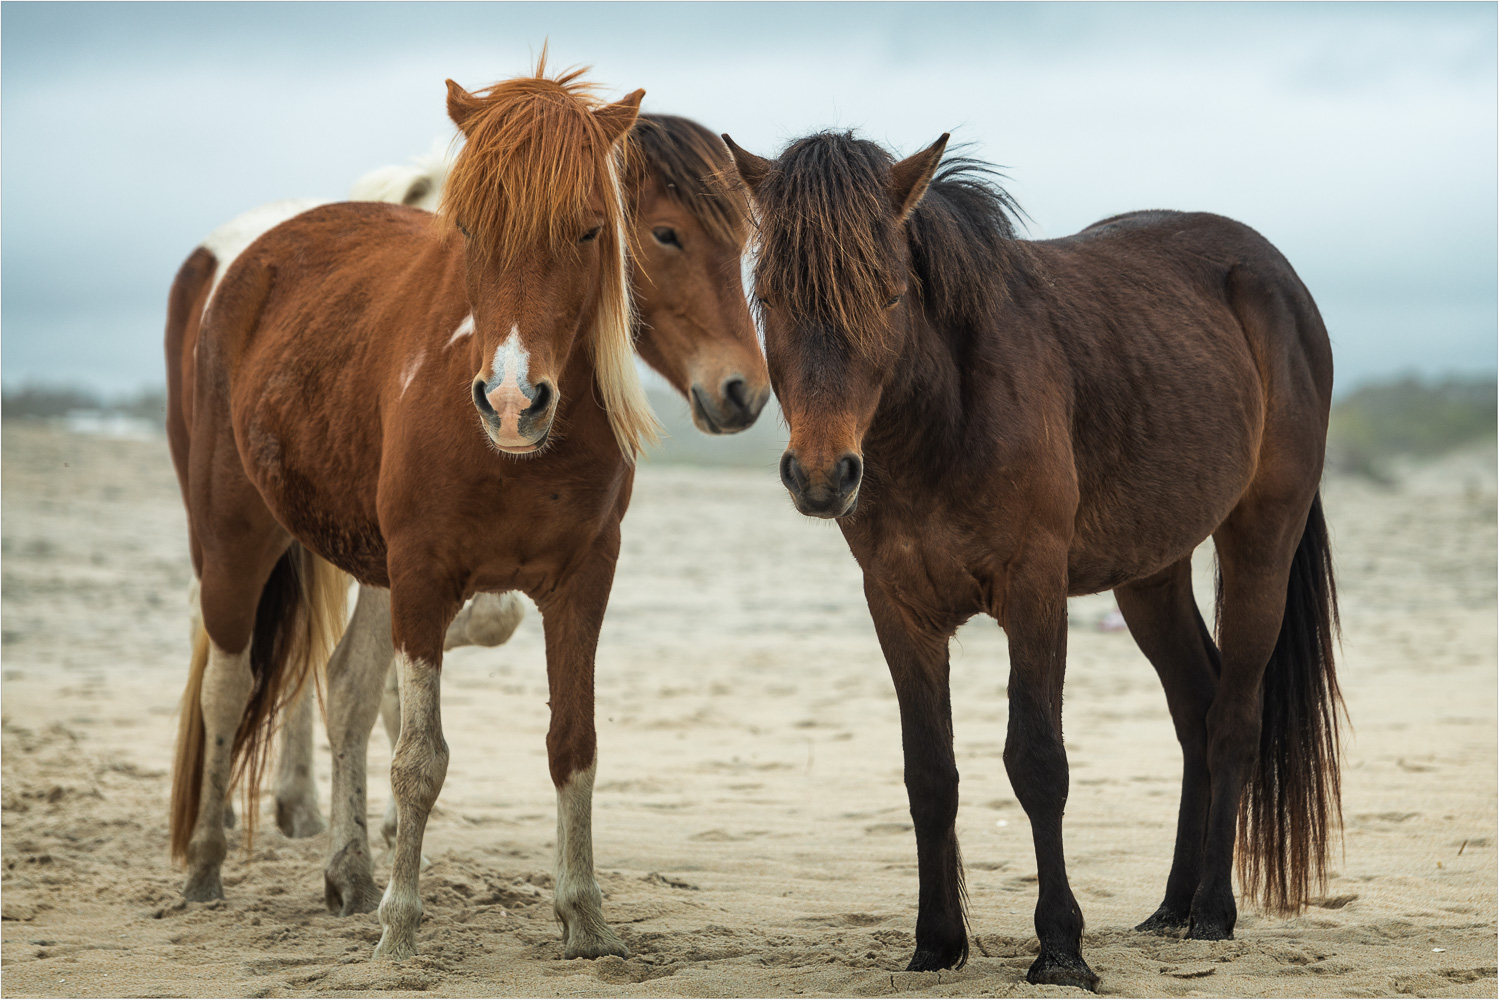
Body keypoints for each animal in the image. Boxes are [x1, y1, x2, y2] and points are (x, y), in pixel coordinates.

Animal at [719, 128, 1343, 989]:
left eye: (887, 293)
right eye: (770, 297)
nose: (821, 475)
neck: (945, 419)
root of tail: (1276, 277)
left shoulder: (1034, 593)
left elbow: (1037, 762)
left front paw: (1060, 949)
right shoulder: (897, 607)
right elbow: (928, 772)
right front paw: (934, 944)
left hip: (1259, 540)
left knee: (1232, 717)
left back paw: (1212, 912)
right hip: (1150, 574)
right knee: (1195, 706)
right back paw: (1170, 906)